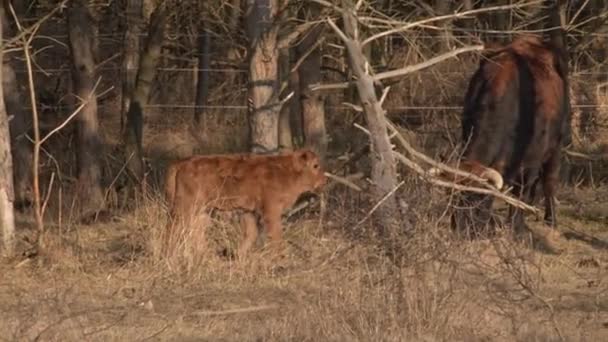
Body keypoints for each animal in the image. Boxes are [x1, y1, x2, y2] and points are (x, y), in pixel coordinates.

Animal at [163, 148, 328, 258]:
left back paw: (206, 255)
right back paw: (169, 254)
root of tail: (182, 162)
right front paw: (281, 259)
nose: (324, 180)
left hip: (202, 210)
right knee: (173, 227)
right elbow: (276, 234)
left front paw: (239, 255)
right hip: (185, 206)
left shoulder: (248, 211)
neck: (287, 171)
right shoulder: (271, 211)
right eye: (315, 165)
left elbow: (251, 233)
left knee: (196, 231)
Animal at [430, 36, 568, 236]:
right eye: (454, 197)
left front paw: (516, 227)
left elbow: (522, 191)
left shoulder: (532, 162)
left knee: (549, 181)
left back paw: (551, 219)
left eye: (479, 199)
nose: (462, 229)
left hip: (557, 143)